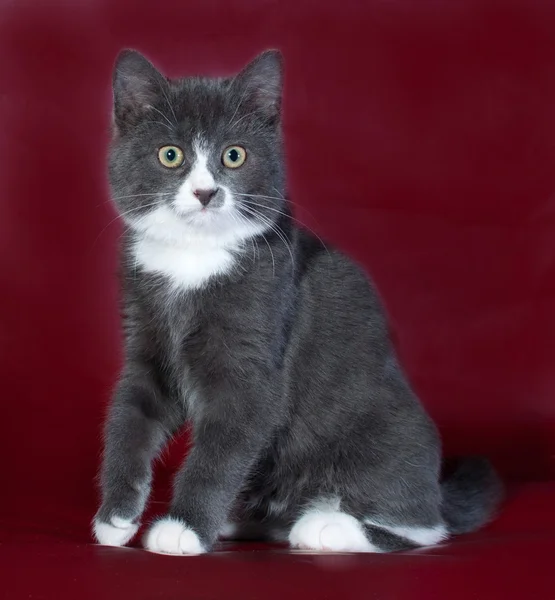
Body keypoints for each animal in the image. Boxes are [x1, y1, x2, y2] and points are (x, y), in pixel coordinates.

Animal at [92, 49, 504, 556]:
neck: (194, 257)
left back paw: (325, 525)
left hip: (387, 437)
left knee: (424, 526)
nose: (206, 192)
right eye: (171, 155)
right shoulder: (145, 337)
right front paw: (116, 516)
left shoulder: (254, 357)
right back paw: (246, 520)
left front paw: (183, 527)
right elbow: (130, 420)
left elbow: (221, 451)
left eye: (234, 155)